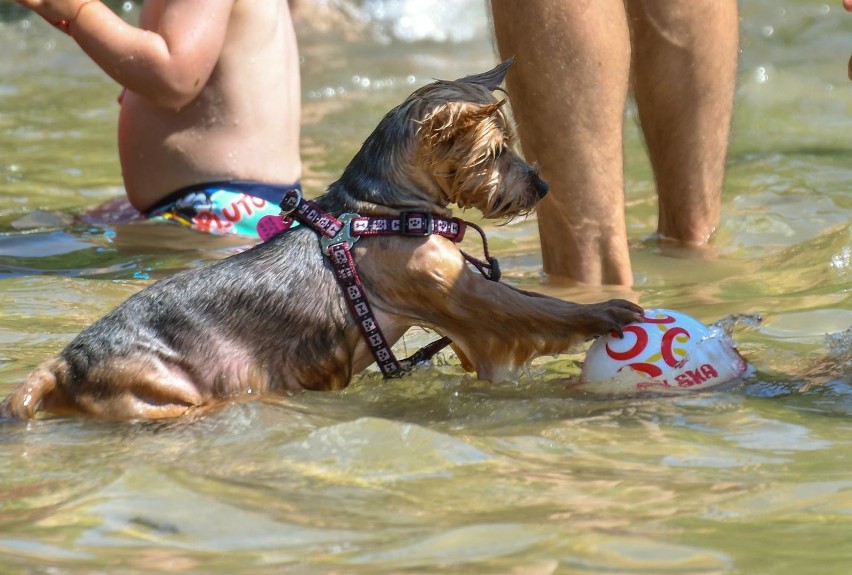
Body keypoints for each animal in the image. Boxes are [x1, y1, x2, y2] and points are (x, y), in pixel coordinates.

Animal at [0, 62, 640, 424]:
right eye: (496, 153)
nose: (543, 185)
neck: (384, 210)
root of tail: (60, 365)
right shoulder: (459, 295)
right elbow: (539, 308)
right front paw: (612, 310)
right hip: (166, 394)